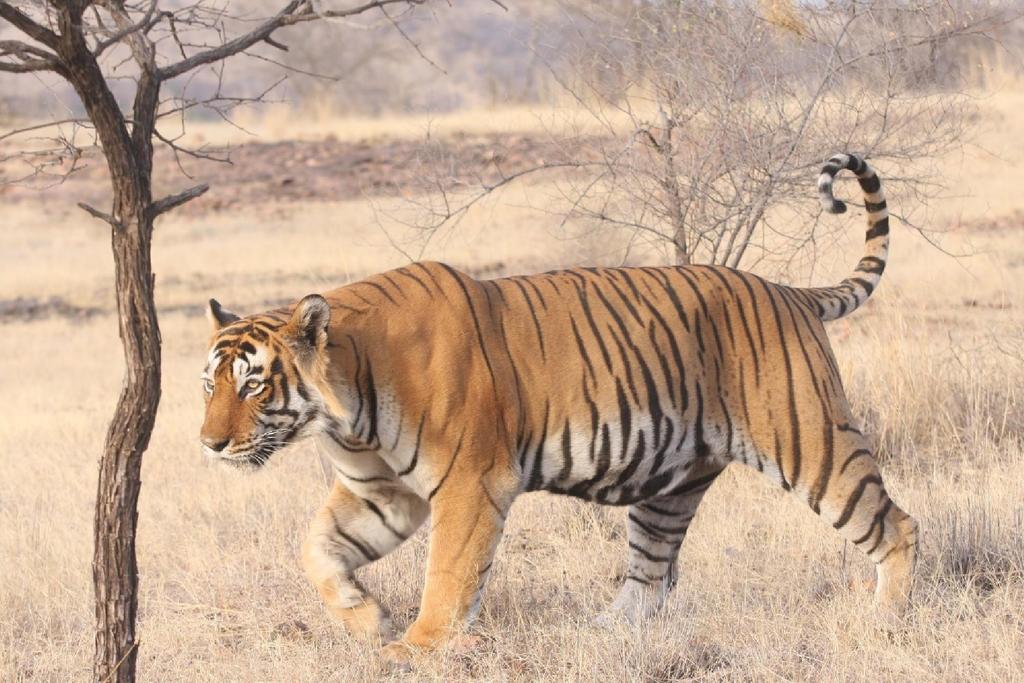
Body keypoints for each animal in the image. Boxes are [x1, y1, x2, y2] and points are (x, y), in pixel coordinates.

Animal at [199, 152, 921, 663]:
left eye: (254, 385)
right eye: (210, 385)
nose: (208, 444)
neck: (348, 415)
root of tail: (790, 292)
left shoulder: (471, 482)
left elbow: (449, 571)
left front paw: (417, 647)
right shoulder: (381, 492)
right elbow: (317, 549)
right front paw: (367, 619)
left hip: (810, 442)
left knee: (895, 524)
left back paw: (885, 622)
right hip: (673, 485)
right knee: (650, 575)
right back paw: (601, 635)